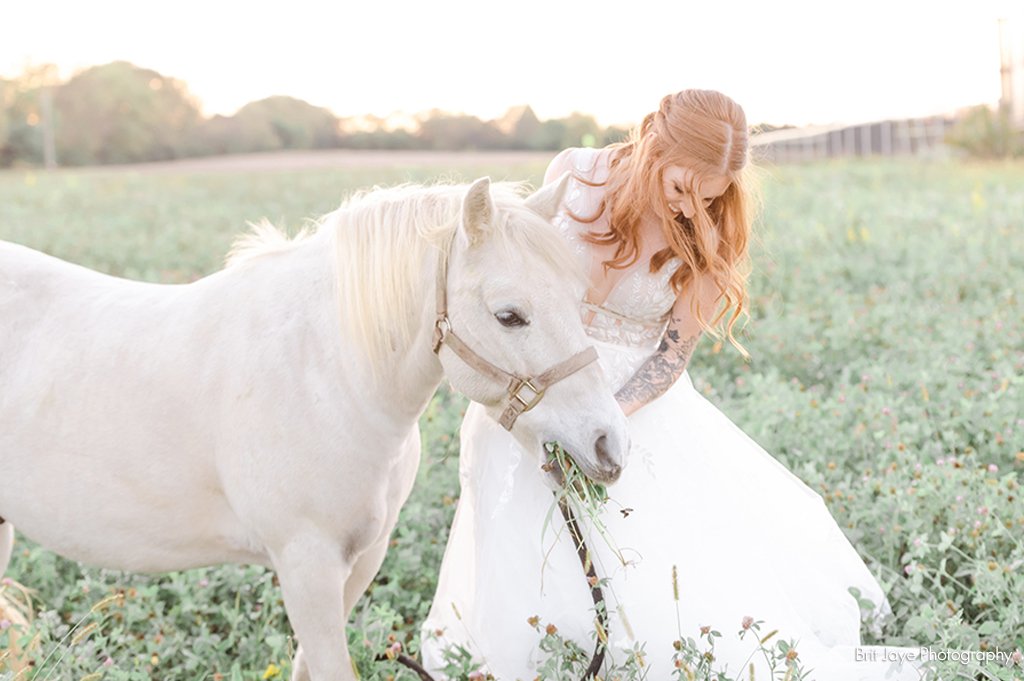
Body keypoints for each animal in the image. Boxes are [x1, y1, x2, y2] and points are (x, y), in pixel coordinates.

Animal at [0, 176, 626, 679]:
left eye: (580, 299)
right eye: (509, 315)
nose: (608, 442)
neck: (327, 373)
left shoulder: (361, 559)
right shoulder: (306, 565)